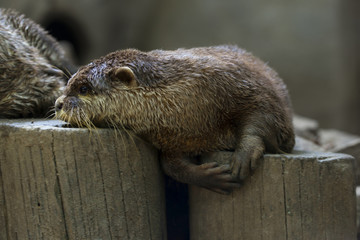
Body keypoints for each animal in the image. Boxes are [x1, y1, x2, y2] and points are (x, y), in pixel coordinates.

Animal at [54, 46, 294, 194]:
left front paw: (244, 155)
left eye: (83, 88)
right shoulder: (174, 139)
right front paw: (210, 177)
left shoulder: (241, 83)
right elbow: (170, 166)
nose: (58, 103)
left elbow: (262, 113)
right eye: (68, 84)